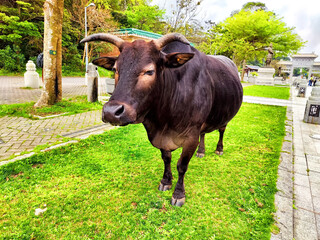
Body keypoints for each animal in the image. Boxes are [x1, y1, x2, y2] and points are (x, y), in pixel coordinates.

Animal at [80, 33, 242, 206]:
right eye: (115, 69)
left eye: (149, 71)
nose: (111, 112)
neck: (163, 121)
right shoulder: (160, 137)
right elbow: (166, 159)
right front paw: (166, 181)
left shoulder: (191, 136)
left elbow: (182, 166)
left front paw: (178, 194)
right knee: (204, 133)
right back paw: (201, 151)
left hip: (224, 117)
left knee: (221, 130)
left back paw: (219, 149)